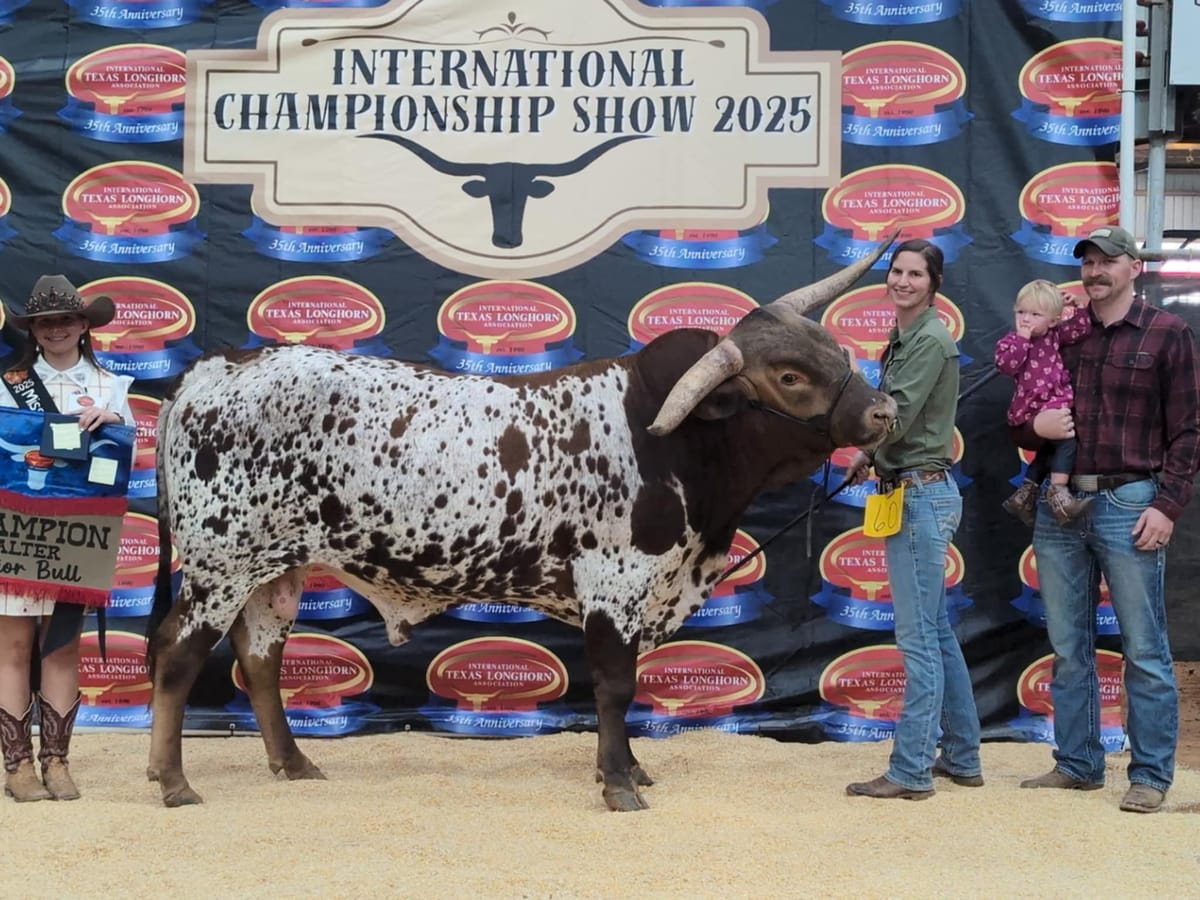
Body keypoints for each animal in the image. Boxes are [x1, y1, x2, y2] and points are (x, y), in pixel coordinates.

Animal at [145, 235, 900, 811]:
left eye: (833, 347)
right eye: (791, 377)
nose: (885, 411)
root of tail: (216, 369)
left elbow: (624, 687)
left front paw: (628, 768)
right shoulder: (615, 589)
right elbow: (617, 685)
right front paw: (620, 784)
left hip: (276, 570)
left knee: (260, 658)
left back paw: (294, 765)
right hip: (220, 566)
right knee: (177, 653)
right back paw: (173, 782)